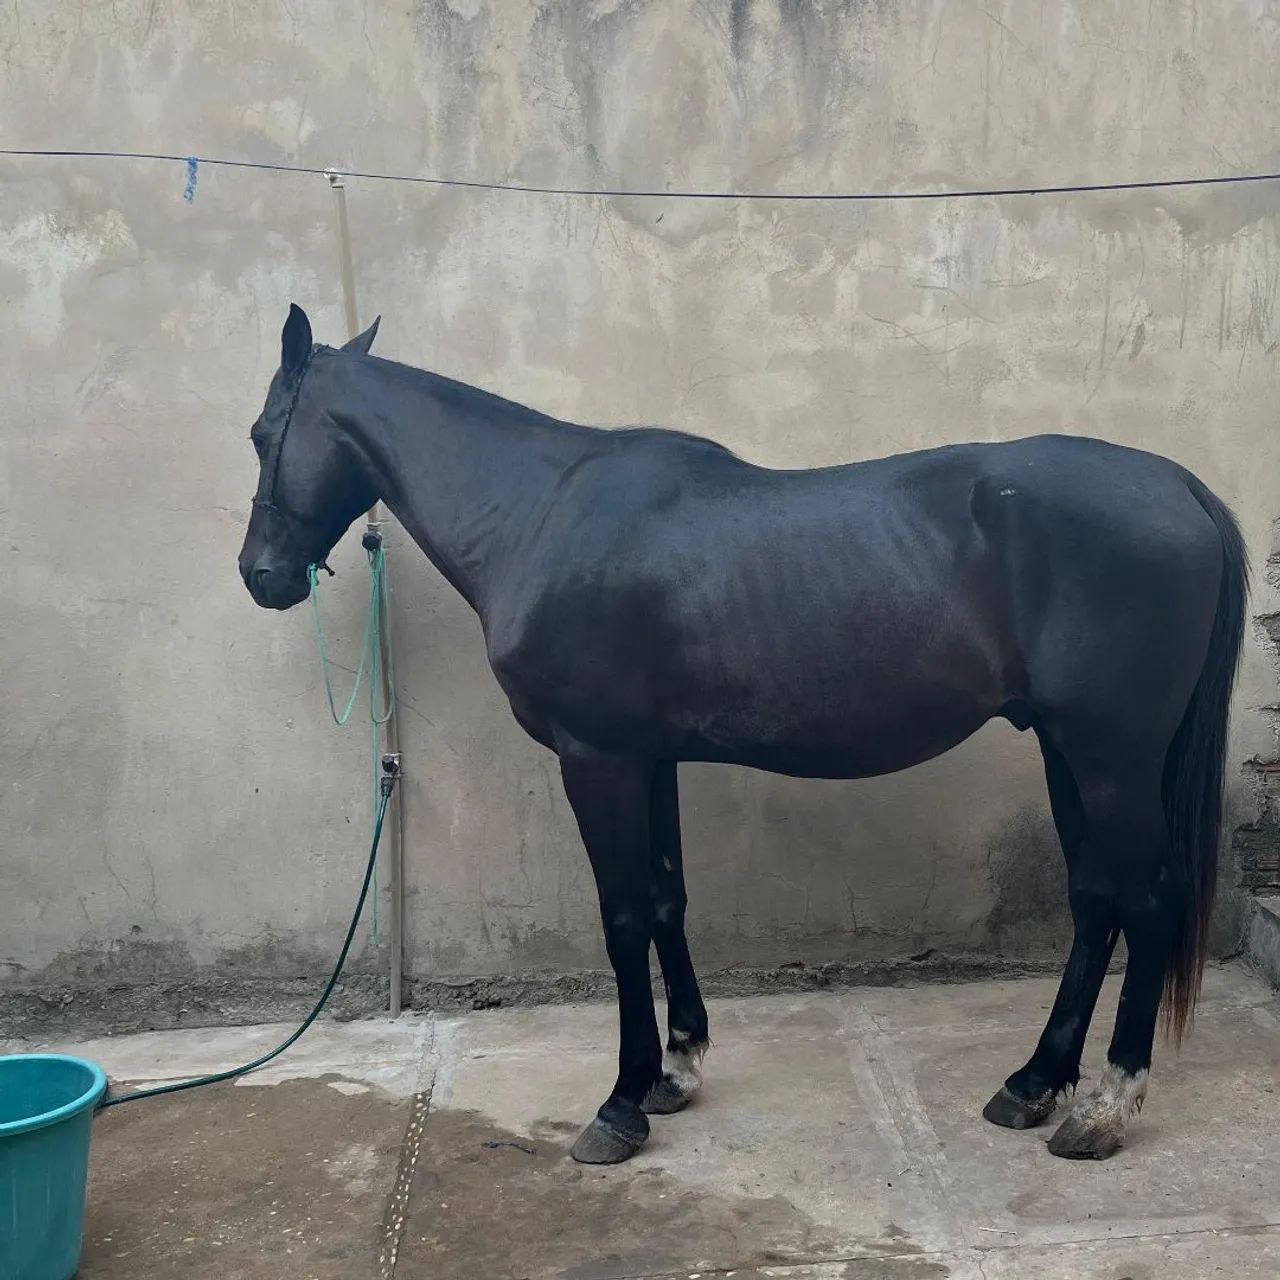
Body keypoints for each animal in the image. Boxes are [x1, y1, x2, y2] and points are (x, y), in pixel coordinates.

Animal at [238, 304, 1246, 1165]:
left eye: (259, 433)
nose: (261, 575)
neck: (540, 510)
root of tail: (1181, 487)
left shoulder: (597, 758)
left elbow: (621, 917)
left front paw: (620, 1102)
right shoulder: (650, 758)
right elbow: (665, 900)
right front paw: (677, 1068)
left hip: (1111, 757)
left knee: (1148, 902)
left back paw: (1104, 1109)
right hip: (1068, 749)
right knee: (1097, 902)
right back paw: (1034, 1083)